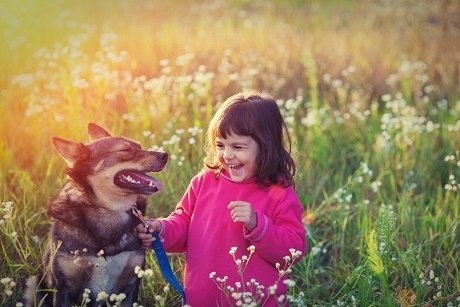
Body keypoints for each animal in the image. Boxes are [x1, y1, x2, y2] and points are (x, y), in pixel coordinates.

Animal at [24, 123, 168, 307]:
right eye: (125, 150)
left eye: (139, 146)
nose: (165, 155)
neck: (109, 210)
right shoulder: (62, 287)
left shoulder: (131, 282)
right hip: (32, 284)